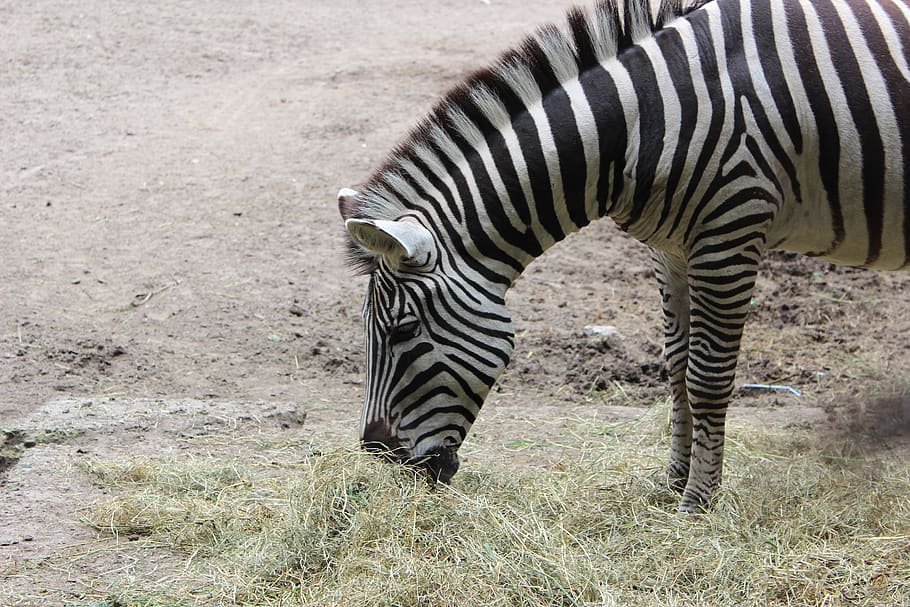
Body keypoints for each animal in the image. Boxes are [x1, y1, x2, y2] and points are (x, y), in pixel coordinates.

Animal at [337, 0, 910, 512]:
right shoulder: (671, 249)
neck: (642, 122)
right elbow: (676, 365)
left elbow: (707, 375)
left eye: (403, 330)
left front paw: (697, 504)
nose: (378, 454)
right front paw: (672, 482)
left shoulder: (731, 230)